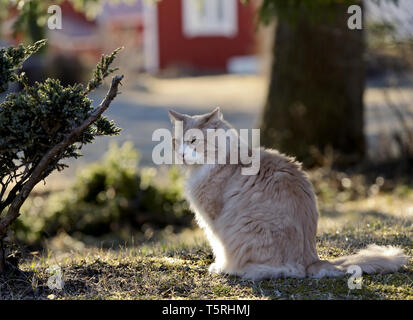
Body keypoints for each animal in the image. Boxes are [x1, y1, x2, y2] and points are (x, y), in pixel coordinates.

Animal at [168, 107, 408, 280]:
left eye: (193, 141)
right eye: (176, 142)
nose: (181, 154)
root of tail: (311, 259)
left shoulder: (213, 219)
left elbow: (218, 247)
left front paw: (220, 267)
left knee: (284, 271)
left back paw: (240, 270)